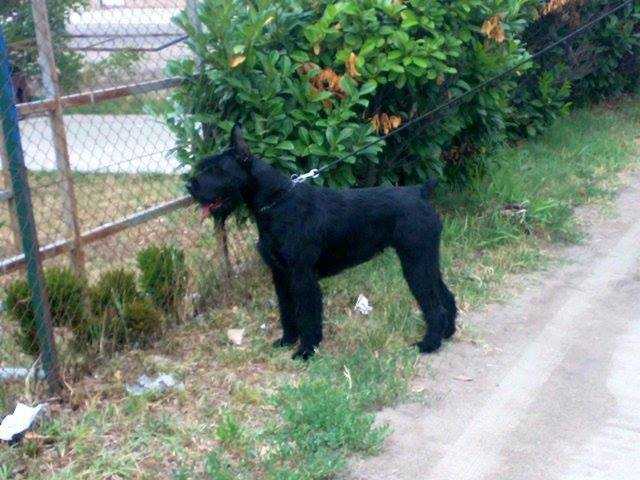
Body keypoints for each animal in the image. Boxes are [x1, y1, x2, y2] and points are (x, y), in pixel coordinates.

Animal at [185, 125, 456, 358]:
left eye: (216, 170)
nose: (189, 185)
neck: (277, 202)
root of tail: (420, 192)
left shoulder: (302, 275)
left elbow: (307, 314)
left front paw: (306, 350)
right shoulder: (280, 274)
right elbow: (287, 311)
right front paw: (287, 340)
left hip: (415, 263)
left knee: (433, 305)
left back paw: (429, 343)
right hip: (425, 261)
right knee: (446, 296)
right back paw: (448, 332)